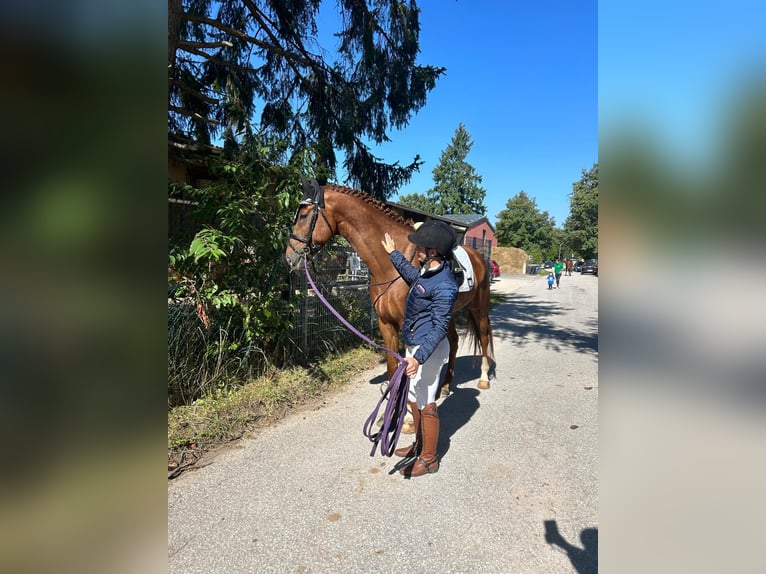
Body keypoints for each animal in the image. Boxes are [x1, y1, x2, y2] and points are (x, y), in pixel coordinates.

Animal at [284, 181, 496, 396]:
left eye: (303, 216)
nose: (290, 257)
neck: (389, 267)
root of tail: (479, 257)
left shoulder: (409, 327)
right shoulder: (385, 323)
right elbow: (393, 367)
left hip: (479, 308)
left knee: (484, 338)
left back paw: (483, 379)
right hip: (448, 314)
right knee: (454, 342)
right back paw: (444, 386)